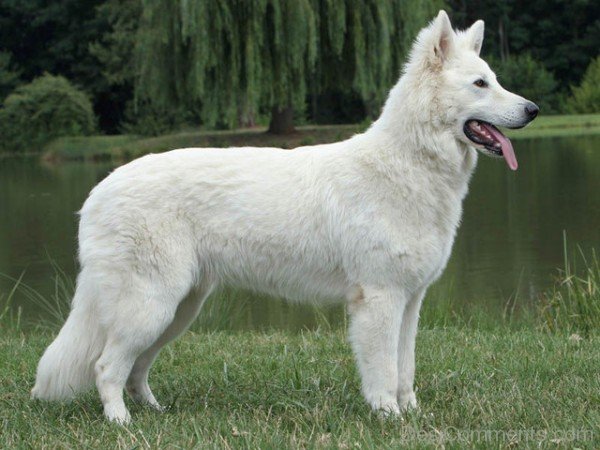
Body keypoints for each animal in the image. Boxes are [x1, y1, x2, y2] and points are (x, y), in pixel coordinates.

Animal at [31, 11, 540, 426]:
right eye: (480, 84)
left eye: (494, 80)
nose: (534, 110)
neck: (407, 165)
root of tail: (98, 190)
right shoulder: (378, 299)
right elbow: (382, 370)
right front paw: (388, 417)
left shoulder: (410, 301)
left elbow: (406, 368)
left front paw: (412, 413)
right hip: (151, 305)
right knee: (106, 367)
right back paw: (122, 425)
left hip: (177, 309)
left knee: (135, 369)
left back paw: (155, 412)